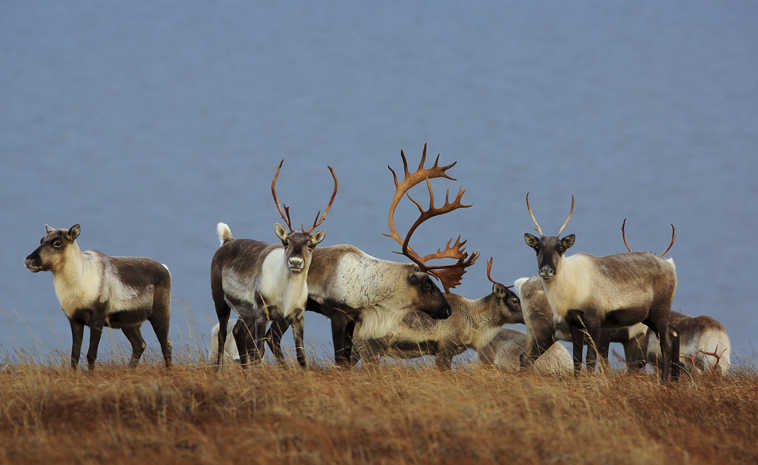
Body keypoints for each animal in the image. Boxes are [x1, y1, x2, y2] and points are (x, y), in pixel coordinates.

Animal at [24, 223, 172, 368]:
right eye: (41, 240)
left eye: (57, 243)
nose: (28, 260)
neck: (78, 279)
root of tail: (165, 268)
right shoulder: (74, 319)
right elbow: (74, 356)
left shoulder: (97, 319)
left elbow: (91, 355)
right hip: (129, 324)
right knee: (139, 345)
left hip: (160, 314)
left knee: (166, 345)